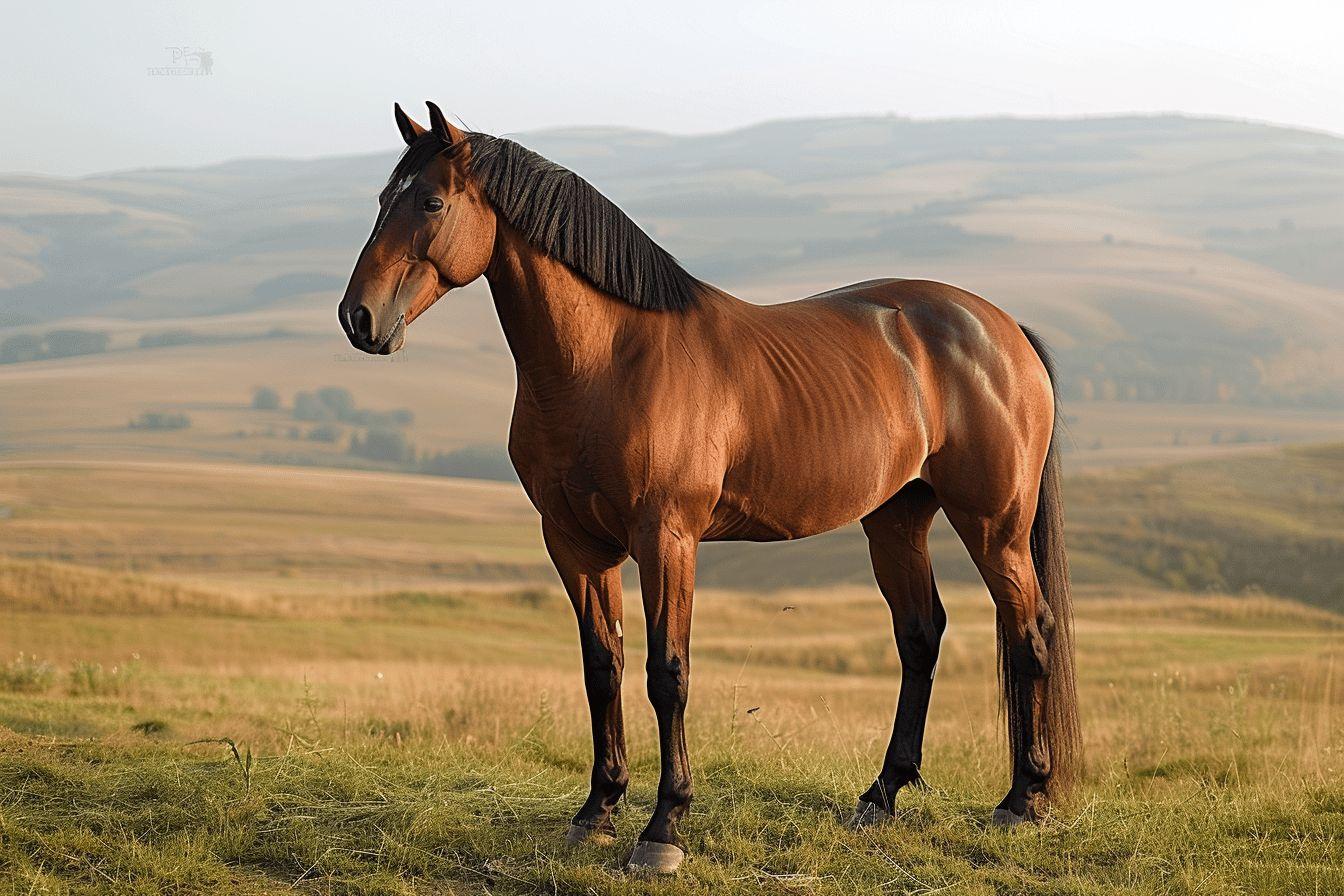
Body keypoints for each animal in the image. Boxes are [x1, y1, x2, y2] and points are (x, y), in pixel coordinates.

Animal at [339, 102, 1080, 873]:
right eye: (383, 199)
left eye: (430, 202)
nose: (359, 318)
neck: (608, 360)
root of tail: (1004, 331)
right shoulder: (574, 543)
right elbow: (602, 666)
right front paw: (598, 809)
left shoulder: (667, 539)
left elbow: (668, 673)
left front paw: (664, 825)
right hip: (896, 519)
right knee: (920, 636)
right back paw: (881, 796)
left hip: (994, 526)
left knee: (1030, 632)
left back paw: (1023, 799)